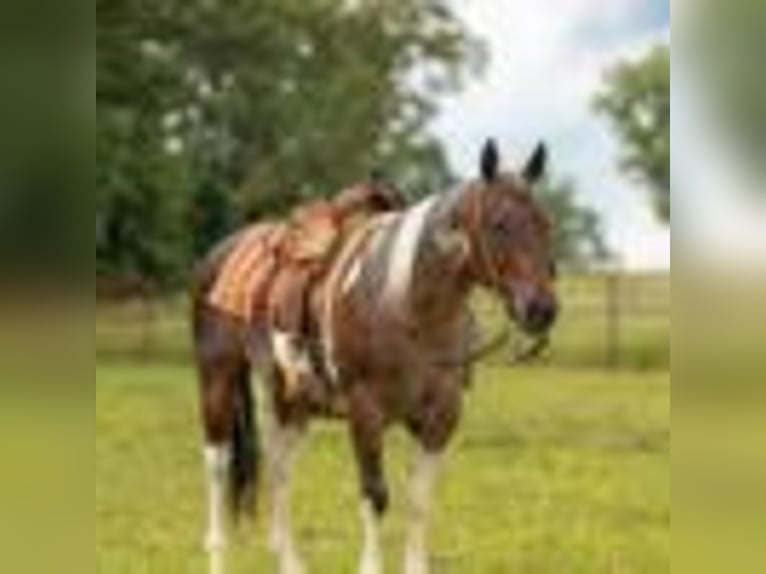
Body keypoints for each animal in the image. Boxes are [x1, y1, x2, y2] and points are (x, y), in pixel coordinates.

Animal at [191, 139, 559, 574]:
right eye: (499, 224)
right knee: (218, 465)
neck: (401, 302)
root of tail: (219, 254)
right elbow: (375, 494)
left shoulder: (441, 416)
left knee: (280, 470)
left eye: (546, 223)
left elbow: (419, 500)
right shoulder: (365, 412)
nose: (541, 309)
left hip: (291, 401)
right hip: (218, 383)